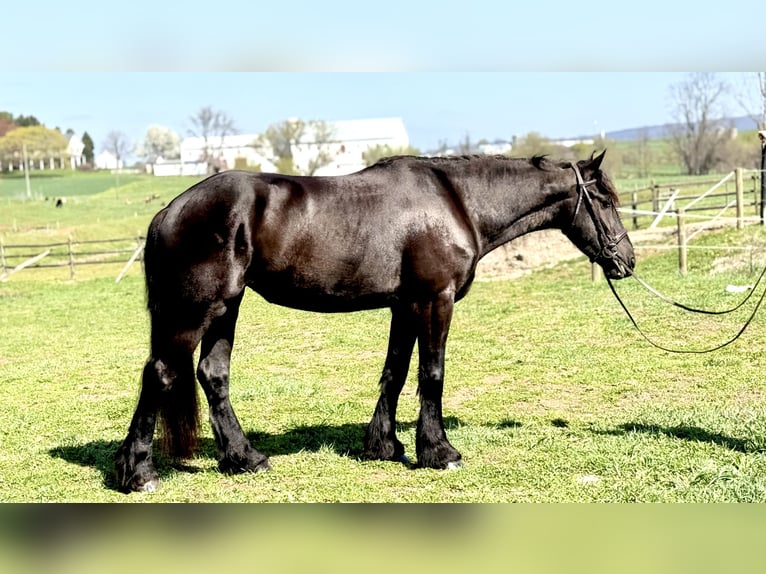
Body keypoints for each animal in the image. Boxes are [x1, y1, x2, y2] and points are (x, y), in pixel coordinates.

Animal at [114, 151, 635, 493]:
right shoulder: (435, 300)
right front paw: (439, 452)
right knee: (161, 374)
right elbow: (432, 374)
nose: (626, 261)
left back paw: (245, 459)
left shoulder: (405, 305)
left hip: (227, 309)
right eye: (606, 200)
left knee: (212, 375)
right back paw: (138, 474)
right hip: (197, 310)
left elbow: (395, 372)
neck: (457, 201)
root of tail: (169, 210)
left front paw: (385, 446)